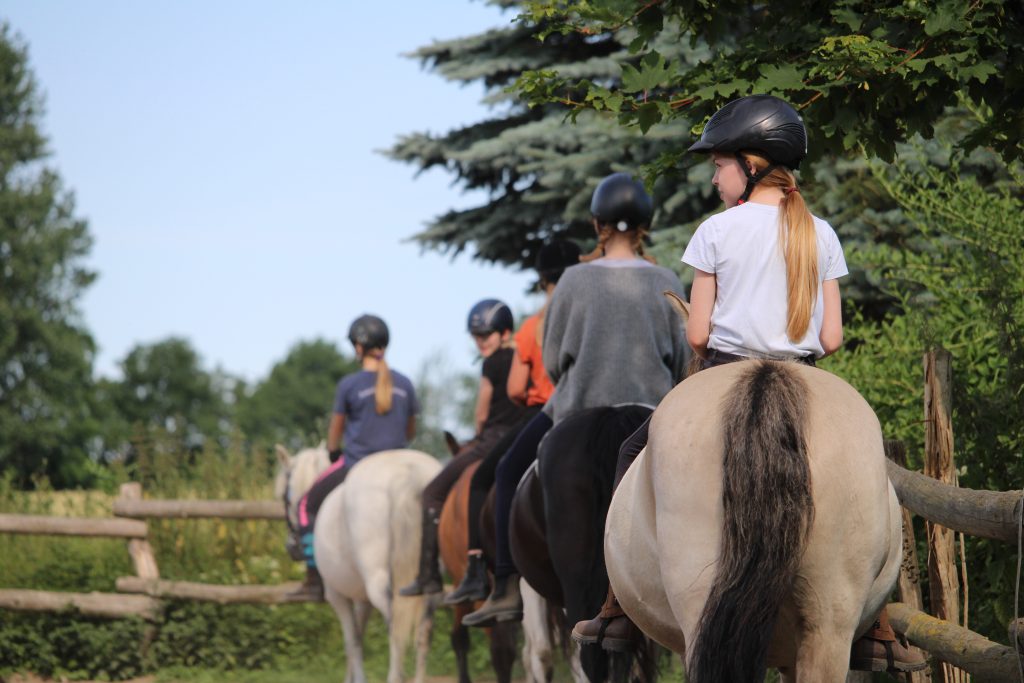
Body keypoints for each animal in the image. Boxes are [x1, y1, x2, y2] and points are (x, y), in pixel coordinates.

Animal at [278, 444, 442, 683]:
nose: (292, 547)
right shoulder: (362, 599)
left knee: (396, 630)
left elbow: (351, 641)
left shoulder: (337, 595)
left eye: (286, 499)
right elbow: (359, 635)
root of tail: (408, 472)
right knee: (424, 631)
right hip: (428, 582)